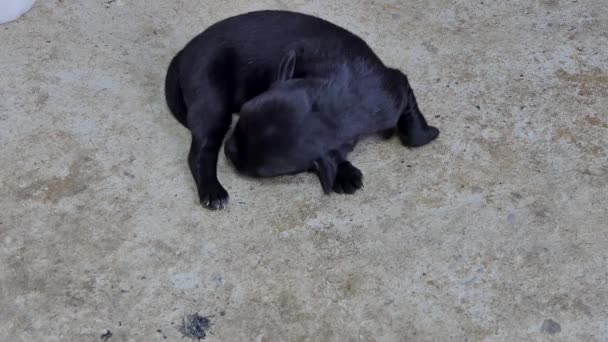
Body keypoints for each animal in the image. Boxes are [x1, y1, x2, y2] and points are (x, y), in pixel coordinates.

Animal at [164, 10, 440, 208]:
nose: (229, 151)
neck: (337, 101)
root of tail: (184, 51)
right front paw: (342, 171)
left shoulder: (395, 88)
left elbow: (412, 132)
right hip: (212, 103)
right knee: (200, 151)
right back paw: (213, 191)